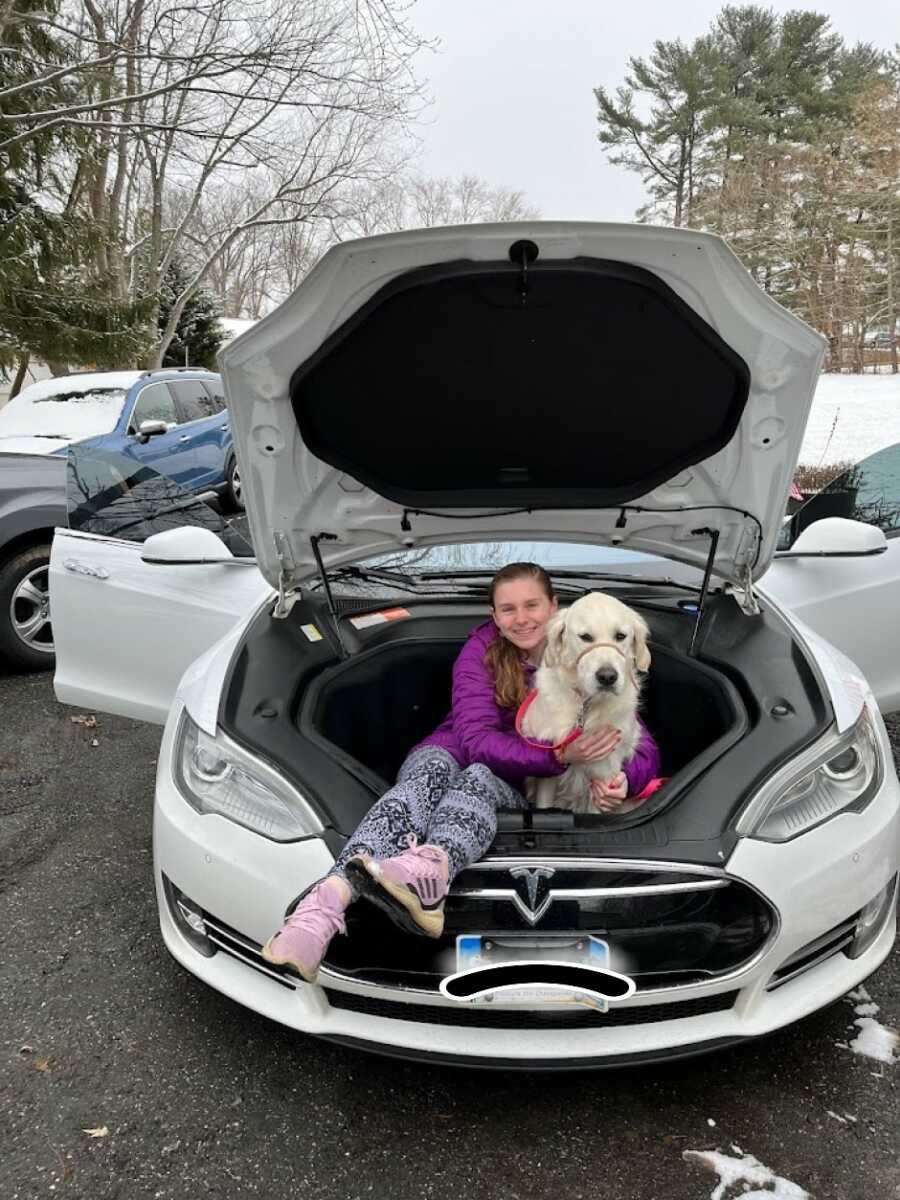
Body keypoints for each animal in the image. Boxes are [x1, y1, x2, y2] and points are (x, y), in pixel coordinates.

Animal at [518, 592, 652, 816]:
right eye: (585, 637)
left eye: (620, 636)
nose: (607, 677)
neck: (585, 705)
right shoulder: (548, 774)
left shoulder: (605, 773)